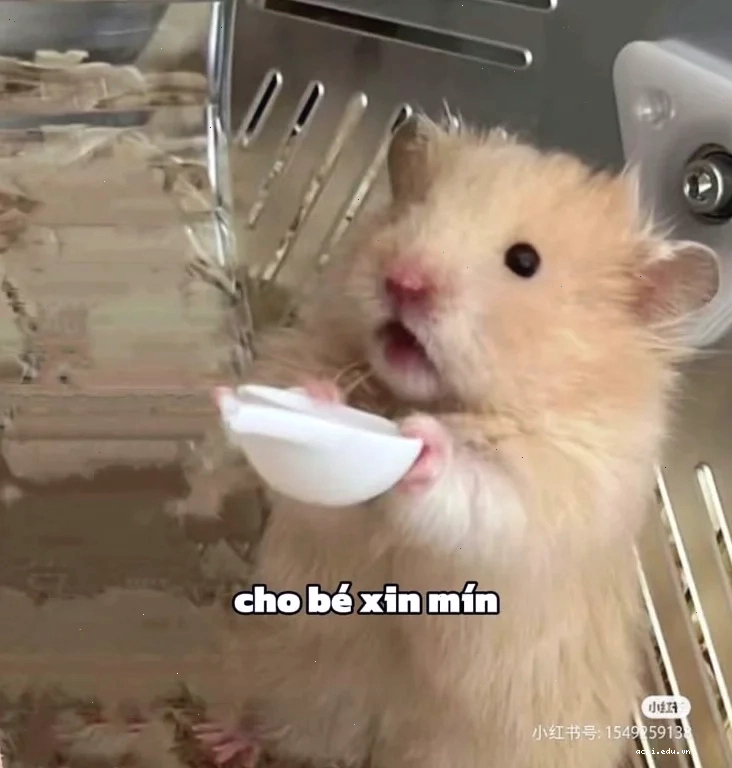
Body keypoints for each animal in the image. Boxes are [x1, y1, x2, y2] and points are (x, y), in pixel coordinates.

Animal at [198, 115, 719, 768]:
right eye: (413, 211)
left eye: (524, 260)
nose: (402, 281)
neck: (426, 399)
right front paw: (314, 396)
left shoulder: (560, 486)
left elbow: (481, 492)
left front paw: (425, 445)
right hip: (283, 661)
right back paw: (222, 737)